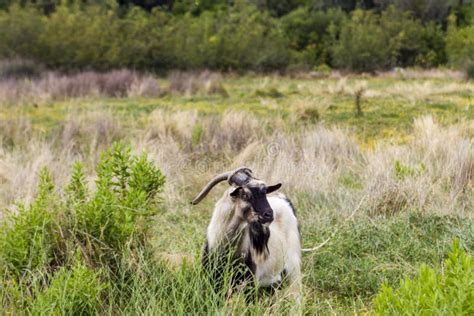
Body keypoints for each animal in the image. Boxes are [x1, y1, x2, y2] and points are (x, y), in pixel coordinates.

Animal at [191, 167, 302, 298]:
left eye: (265, 193)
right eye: (244, 194)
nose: (269, 215)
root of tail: (285, 201)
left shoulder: (249, 283)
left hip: (292, 265)